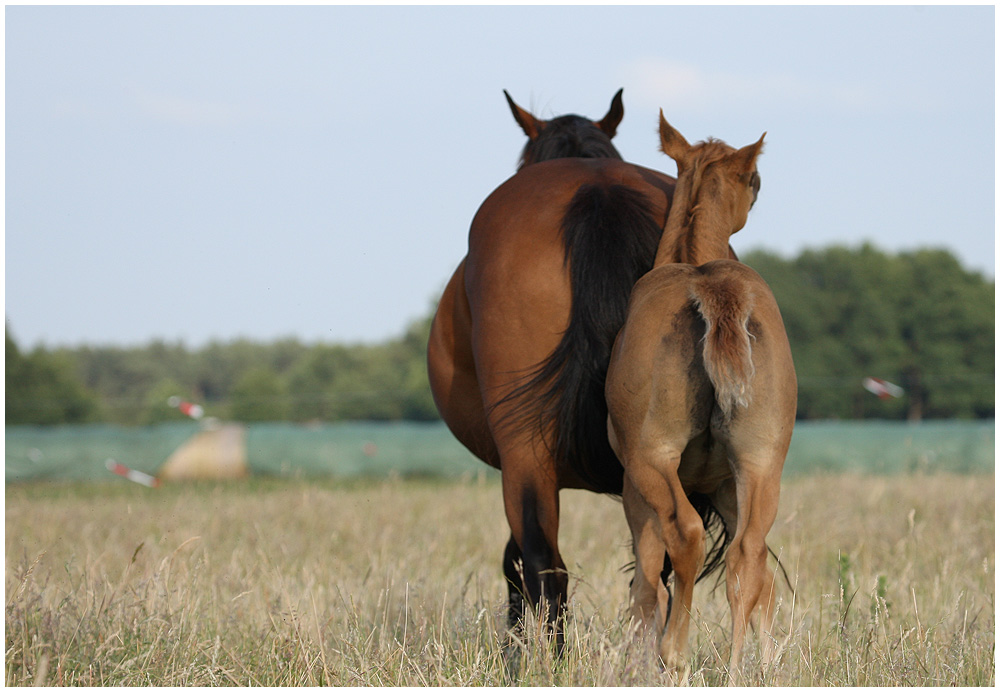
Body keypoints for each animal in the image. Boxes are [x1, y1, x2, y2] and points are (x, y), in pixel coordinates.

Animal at [600, 115, 796, 676]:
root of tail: (713, 288)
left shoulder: (635, 488)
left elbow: (647, 584)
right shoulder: (730, 486)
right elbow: (760, 582)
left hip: (652, 461)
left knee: (684, 536)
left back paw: (677, 654)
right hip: (761, 465)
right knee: (748, 557)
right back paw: (733, 671)